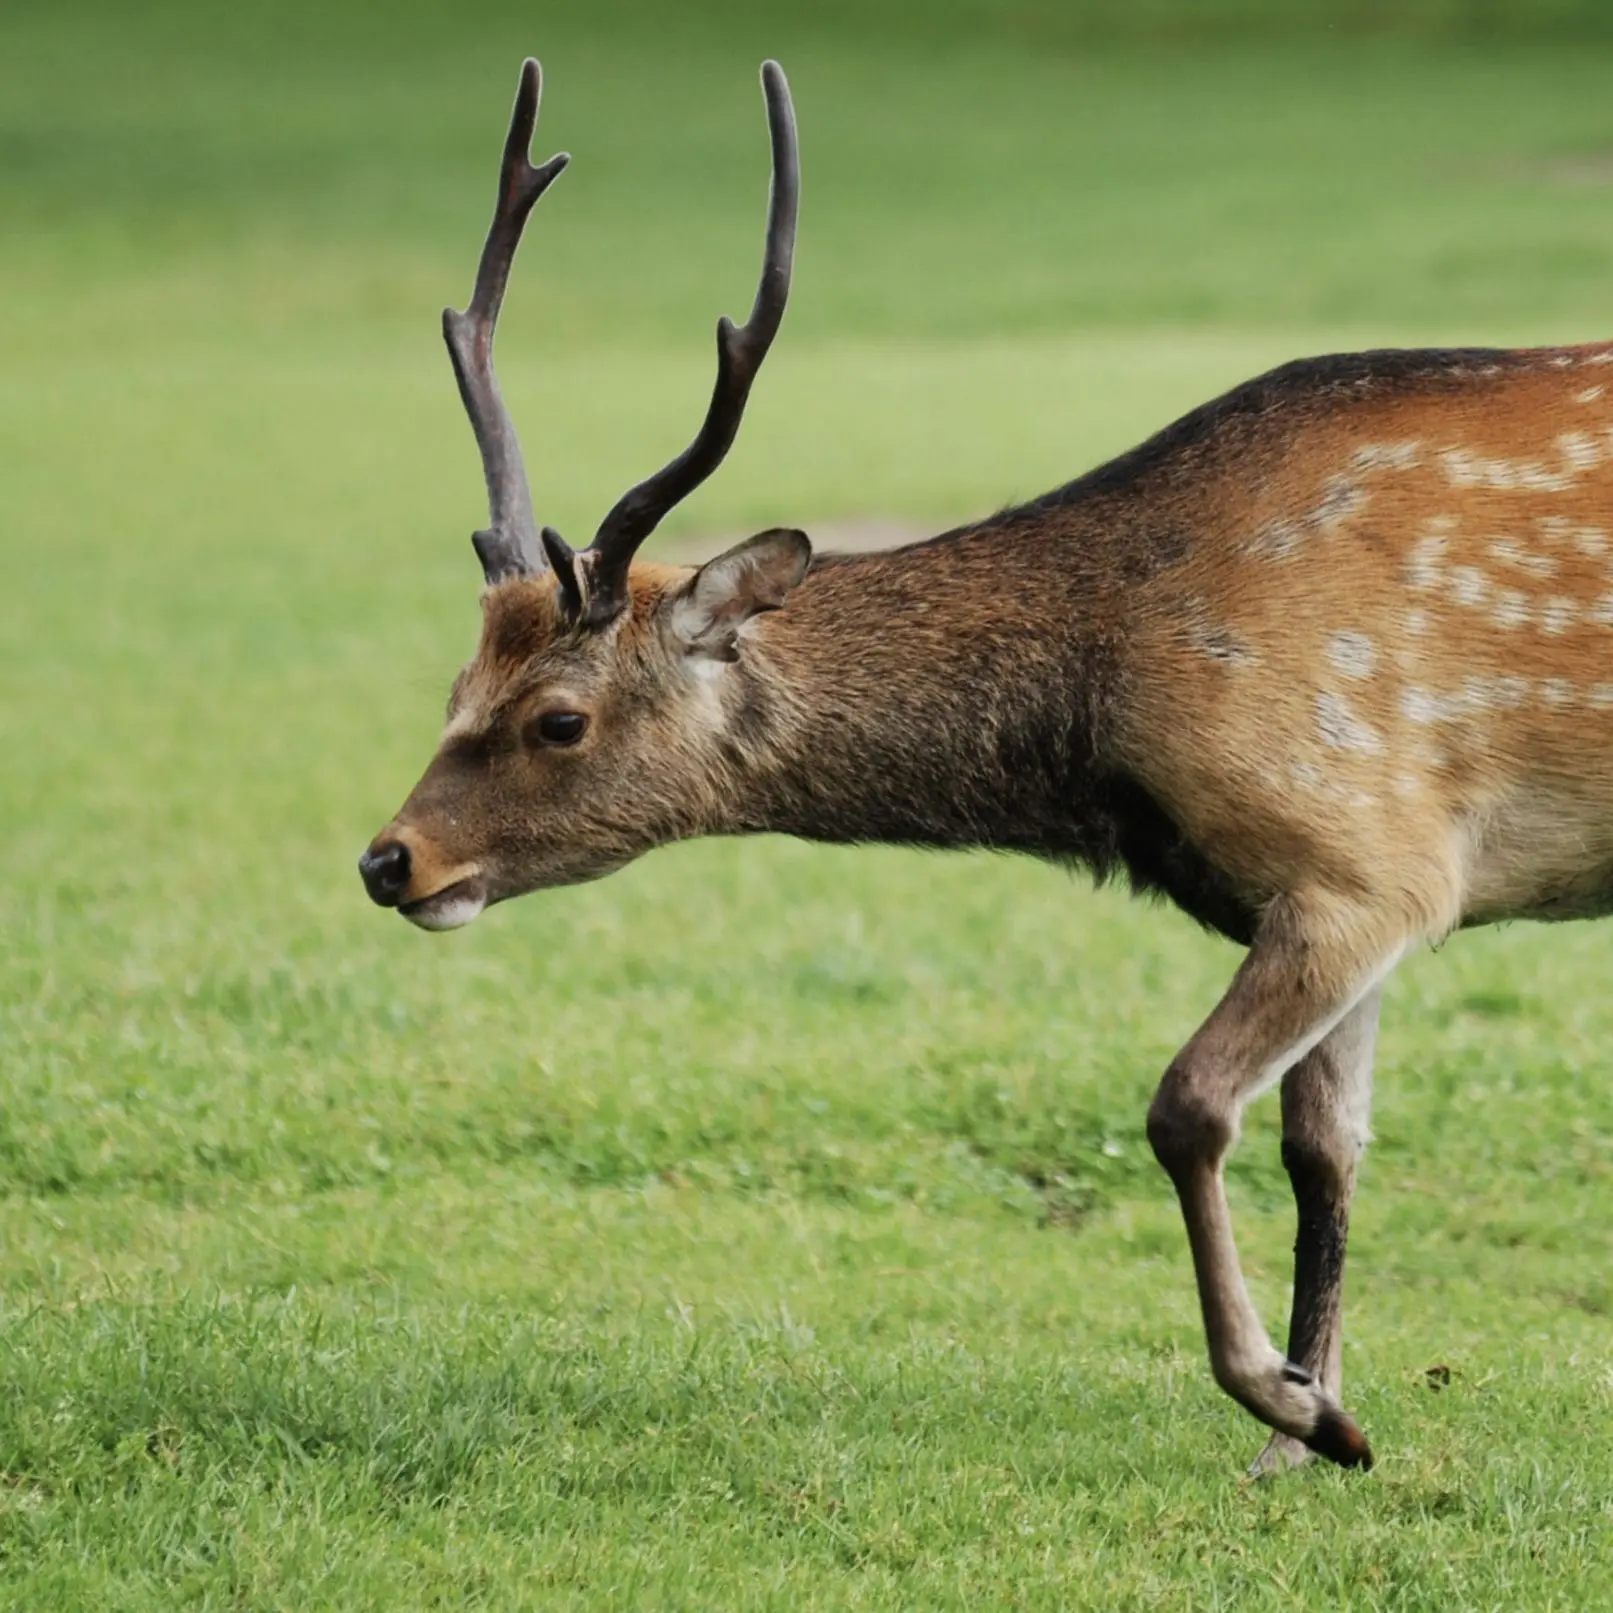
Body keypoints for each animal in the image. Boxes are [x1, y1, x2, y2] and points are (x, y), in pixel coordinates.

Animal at [360, 56, 1613, 1476]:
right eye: (454, 686)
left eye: (559, 719)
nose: (389, 858)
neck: (1103, 726)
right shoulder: (1347, 880)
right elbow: (1326, 1149)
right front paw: (1316, 1425)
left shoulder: (1364, 849)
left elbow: (1188, 1107)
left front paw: (1285, 1401)